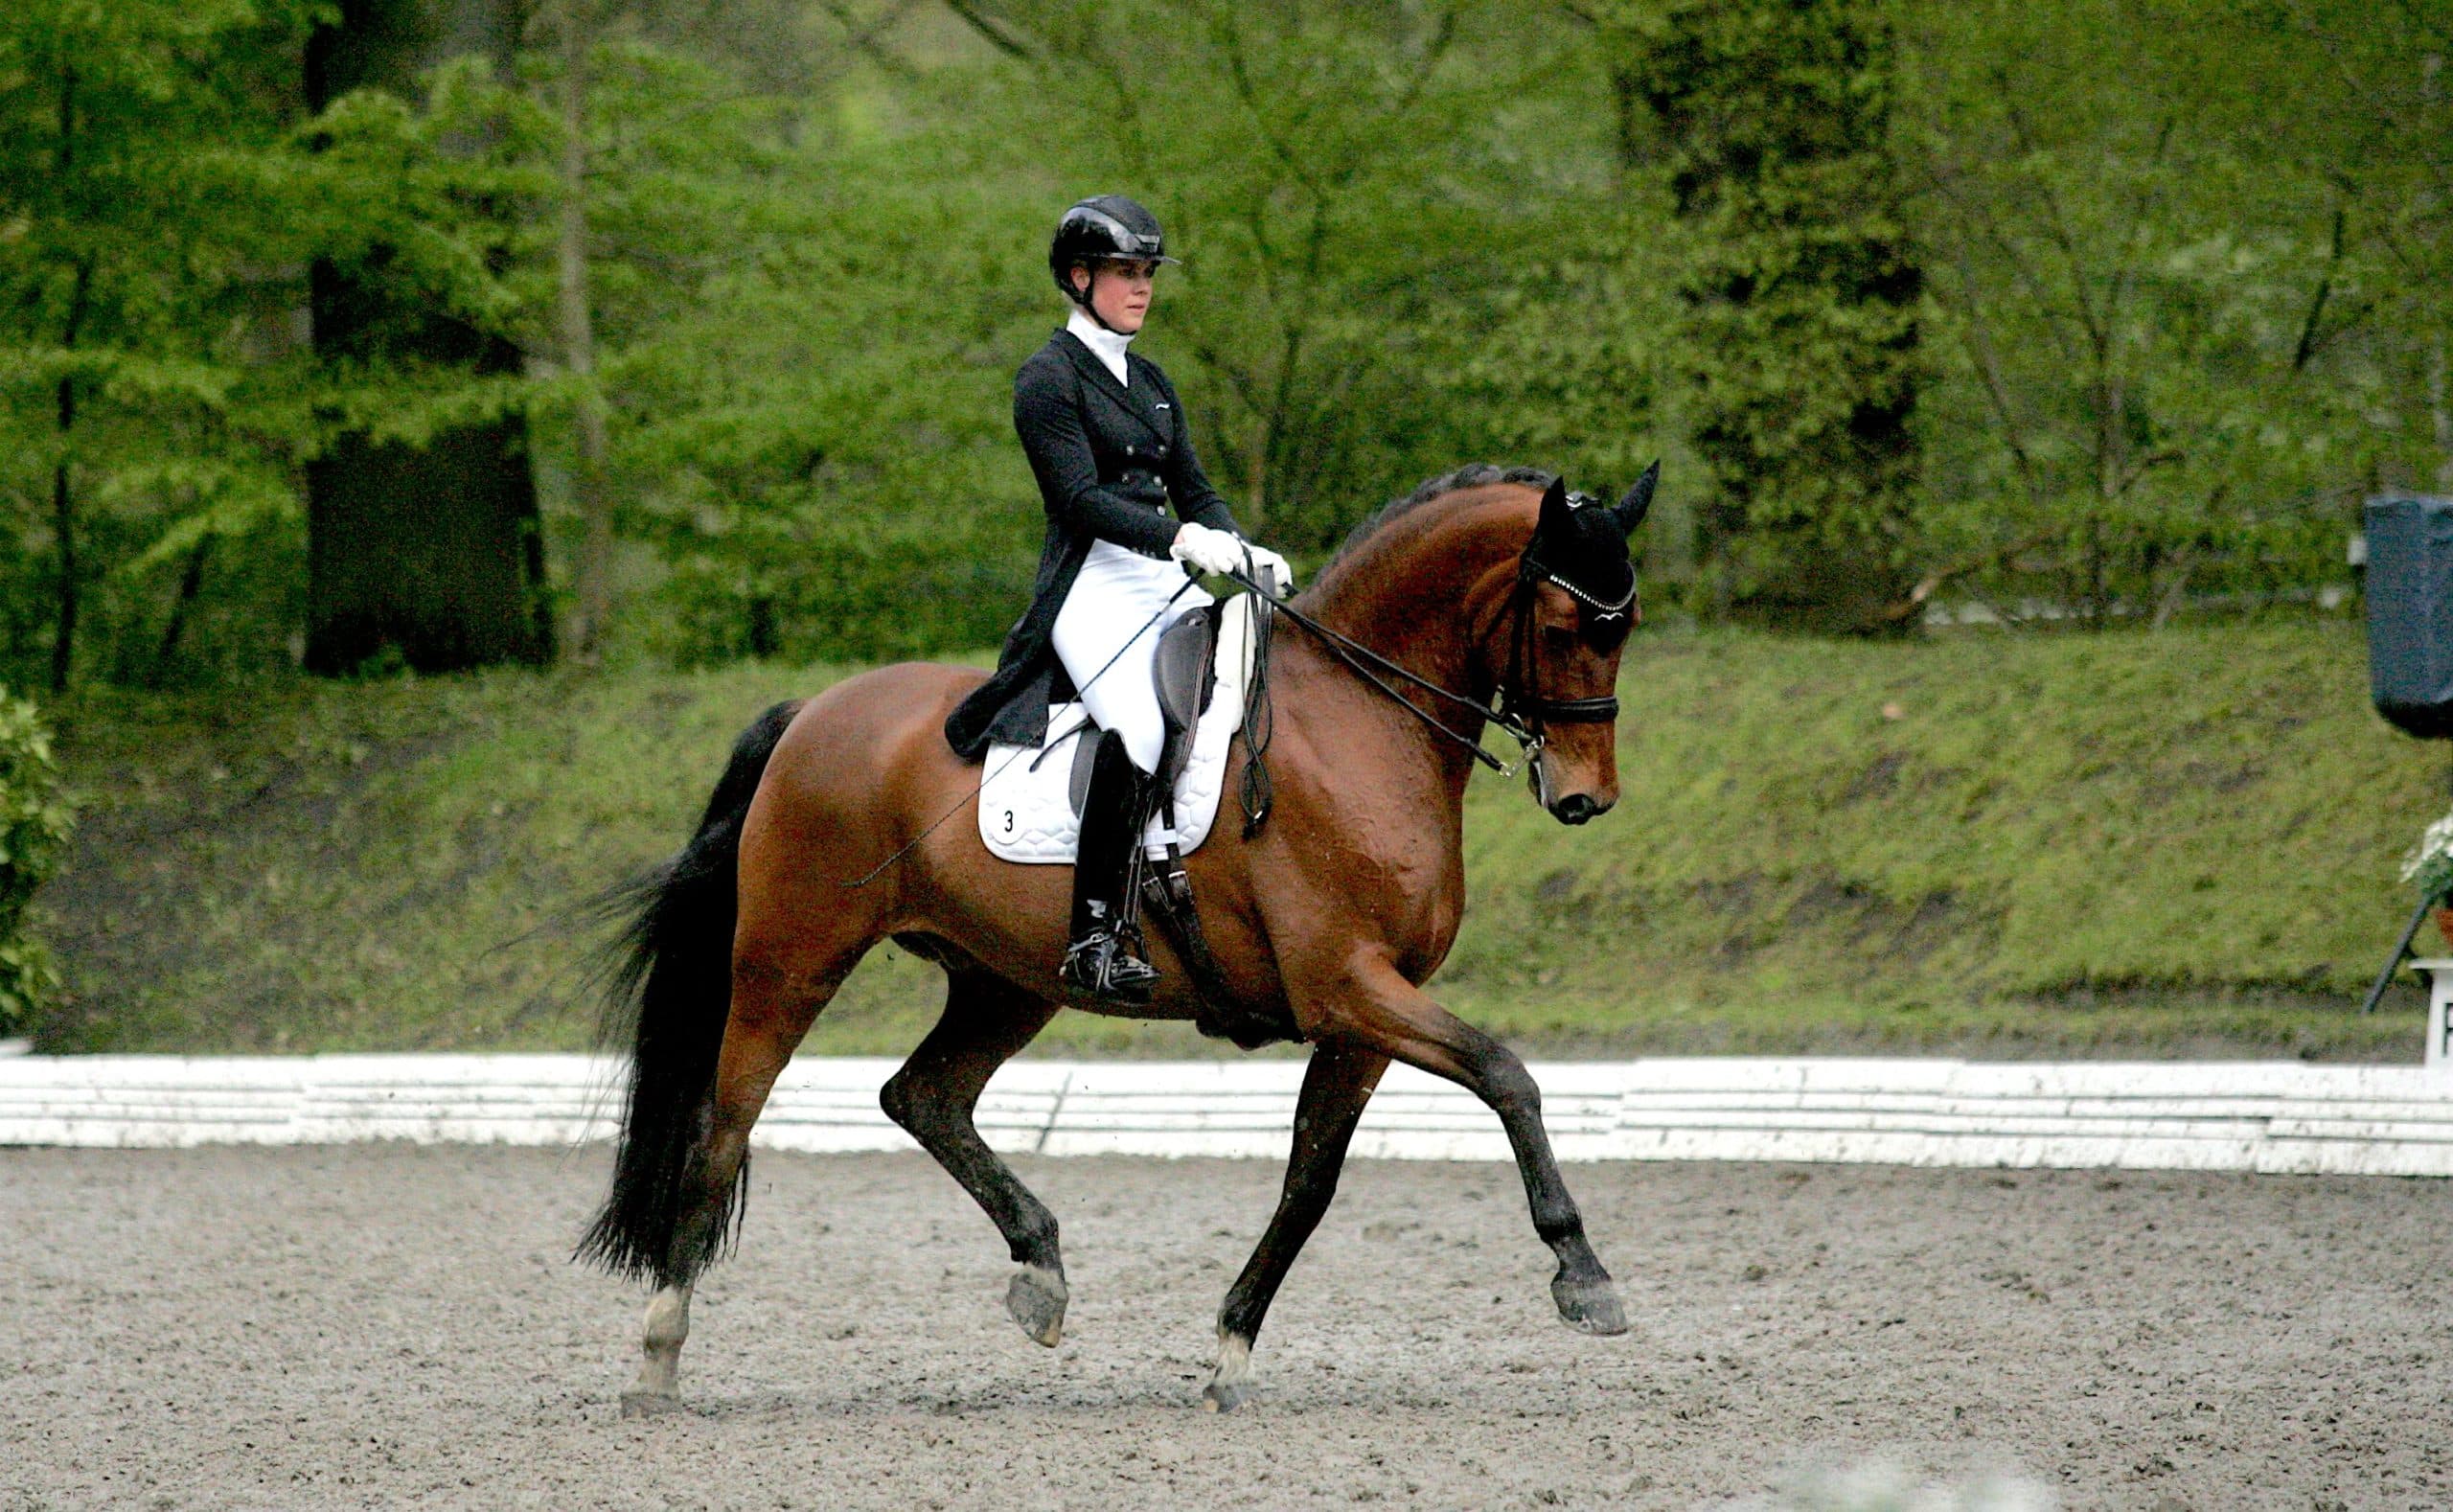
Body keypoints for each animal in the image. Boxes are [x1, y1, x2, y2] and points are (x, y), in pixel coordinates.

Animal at [579, 461, 1648, 1413]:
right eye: (1563, 627)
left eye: (1625, 628)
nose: (1586, 797)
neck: (1355, 719)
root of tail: (812, 712)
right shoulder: (1348, 986)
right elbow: (1507, 1074)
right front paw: (1583, 1273)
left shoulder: (1363, 1016)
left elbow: (1311, 1179)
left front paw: (1230, 1350)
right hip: (790, 962)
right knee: (722, 1132)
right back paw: (657, 1360)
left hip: (1008, 982)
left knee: (922, 1096)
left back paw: (1040, 1274)